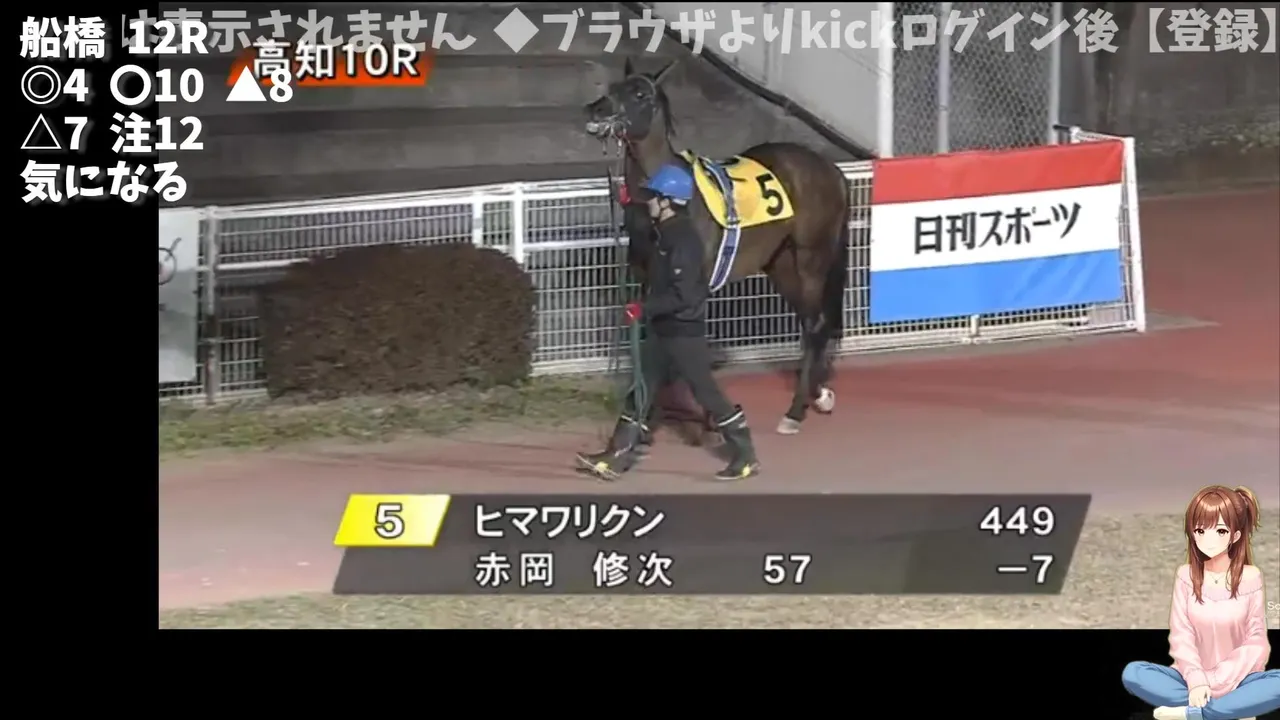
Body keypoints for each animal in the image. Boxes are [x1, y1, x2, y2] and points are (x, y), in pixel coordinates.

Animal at [584, 58, 851, 435]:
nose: (597, 109)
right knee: (810, 321)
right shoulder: (651, 282)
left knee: (815, 324)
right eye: (615, 87)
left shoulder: (691, 284)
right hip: (780, 262)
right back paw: (819, 394)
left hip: (812, 256)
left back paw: (796, 410)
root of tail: (830, 169)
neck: (668, 203)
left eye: (639, 94)